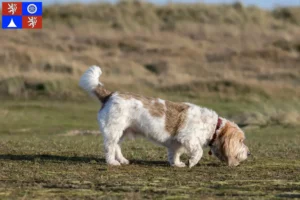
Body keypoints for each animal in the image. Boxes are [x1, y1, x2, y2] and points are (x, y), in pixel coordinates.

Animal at [78, 65, 250, 167]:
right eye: (241, 141)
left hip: (122, 132)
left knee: (117, 147)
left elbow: (175, 154)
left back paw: (122, 159)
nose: (249, 153)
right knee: (109, 147)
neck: (213, 127)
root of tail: (110, 95)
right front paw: (191, 162)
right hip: (113, 131)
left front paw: (177, 164)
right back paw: (112, 162)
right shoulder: (188, 138)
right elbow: (198, 152)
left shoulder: (177, 143)